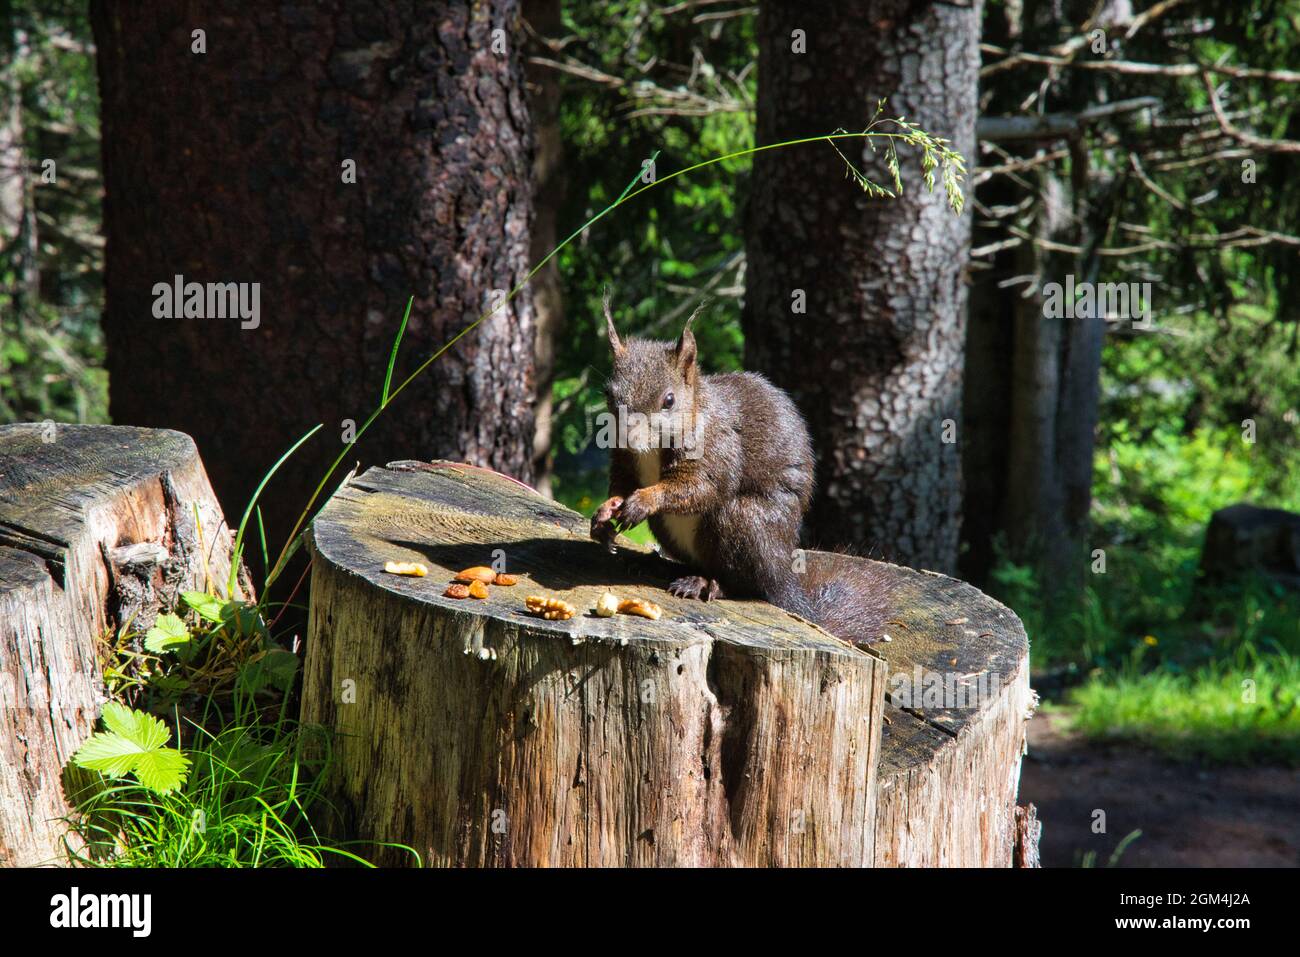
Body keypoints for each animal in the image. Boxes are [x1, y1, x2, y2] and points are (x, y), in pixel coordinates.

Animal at [592, 291, 889, 647]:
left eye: (669, 400)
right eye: (609, 394)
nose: (629, 439)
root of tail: (784, 577)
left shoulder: (718, 451)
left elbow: (701, 487)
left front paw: (643, 500)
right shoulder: (625, 462)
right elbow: (620, 485)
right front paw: (604, 514)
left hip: (743, 522)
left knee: (748, 585)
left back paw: (707, 584)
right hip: (668, 529)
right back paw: (658, 566)